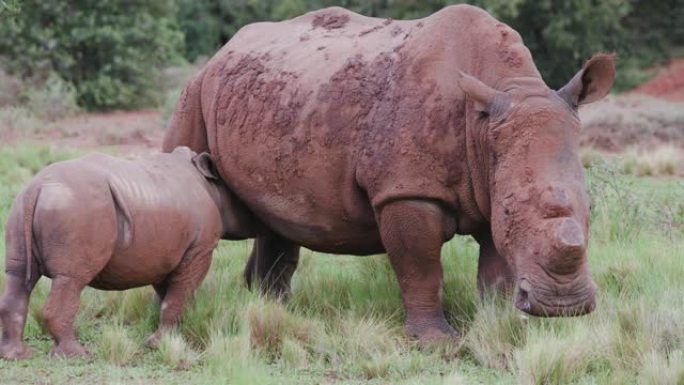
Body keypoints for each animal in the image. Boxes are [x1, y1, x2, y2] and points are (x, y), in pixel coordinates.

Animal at [0, 146, 256, 356]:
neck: (211, 186)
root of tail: (37, 188)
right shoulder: (200, 249)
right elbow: (178, 294)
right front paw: (160, 343)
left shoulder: (166, 252)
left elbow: (171, 295)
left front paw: (174, 332)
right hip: (77, 208)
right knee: (71, 279)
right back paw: (76, 354)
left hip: (22, 207)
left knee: (18, 277)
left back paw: (18, 355)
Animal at [164, 4, 616, 340]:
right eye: (510, 210)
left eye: (592, 208)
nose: (563, 306)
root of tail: (224, 50)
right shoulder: (407, 190)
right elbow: (420, 266)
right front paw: (436, 342)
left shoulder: (491, 181)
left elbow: (496, 270)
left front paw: (499, 328)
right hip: (195, 92)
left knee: (277, 217)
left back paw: (275, 311)